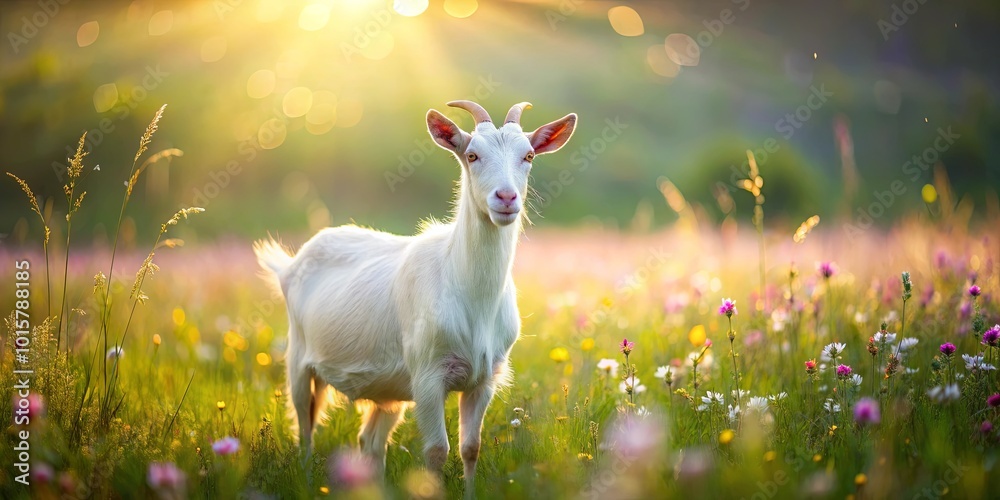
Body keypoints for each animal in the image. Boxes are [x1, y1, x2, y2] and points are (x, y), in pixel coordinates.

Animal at [254, 101, 577, 490]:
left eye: (528, 155)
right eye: (472, 155)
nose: (506, 197)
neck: (471, 294)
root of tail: (290, 264)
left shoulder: (484, 378)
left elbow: (471, 448)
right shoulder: (427, 375)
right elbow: (437, 451)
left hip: (388, 389)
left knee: (370, 441)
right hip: (299, 360)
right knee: (305, 428)